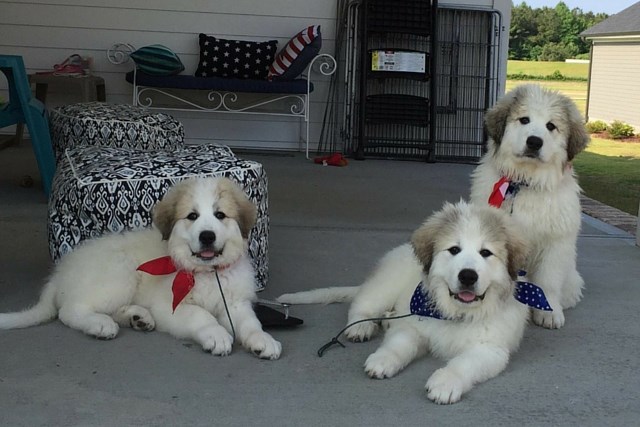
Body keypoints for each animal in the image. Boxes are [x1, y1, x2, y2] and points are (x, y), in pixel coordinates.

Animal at [0, 177, 280, 362]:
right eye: (192, 216)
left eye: (220, 215)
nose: (207, 236)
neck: (208, 273)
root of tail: (59, 275)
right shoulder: (171, 305)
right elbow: (201, 315)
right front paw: (217, 335)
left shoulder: (235, 303)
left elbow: (250, 322)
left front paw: (263, 340)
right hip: (119, 272)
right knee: (69, 311)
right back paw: (100, 324)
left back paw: (137, 317)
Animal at [280, 202, 536, 406]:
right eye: (454, 250)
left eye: (486, 253)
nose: (468, 276)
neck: (455, 313)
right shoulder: (414, 325)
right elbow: (399, 344)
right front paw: (383, 360)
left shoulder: (491, 348)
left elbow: (464, 363)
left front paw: (445, 383)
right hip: (386, 284)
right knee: (362, 305)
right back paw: (361, 326)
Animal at [470, 84, 592, 332]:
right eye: (524, 120)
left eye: (551, 126)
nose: (535, 142)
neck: (527, 182)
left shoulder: (555, 245)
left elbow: (548, 281)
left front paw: (549, 312)